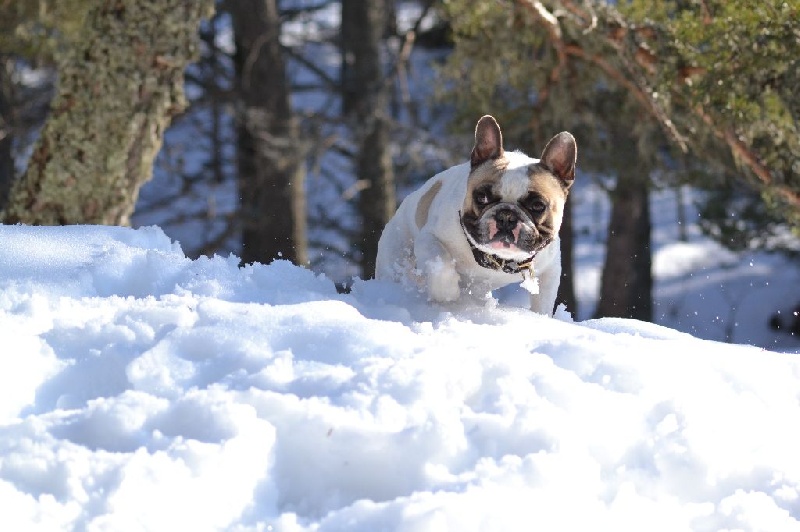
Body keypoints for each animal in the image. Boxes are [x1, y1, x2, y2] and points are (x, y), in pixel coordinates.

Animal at [375, 115, 576, 315]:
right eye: (482, 197)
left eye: (537, 205)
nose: (506, 216)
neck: (497, 259)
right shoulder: (429, 238)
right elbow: (441, 265)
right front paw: (447, 293)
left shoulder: (550, 270)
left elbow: (542, 302)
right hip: (396, 250)